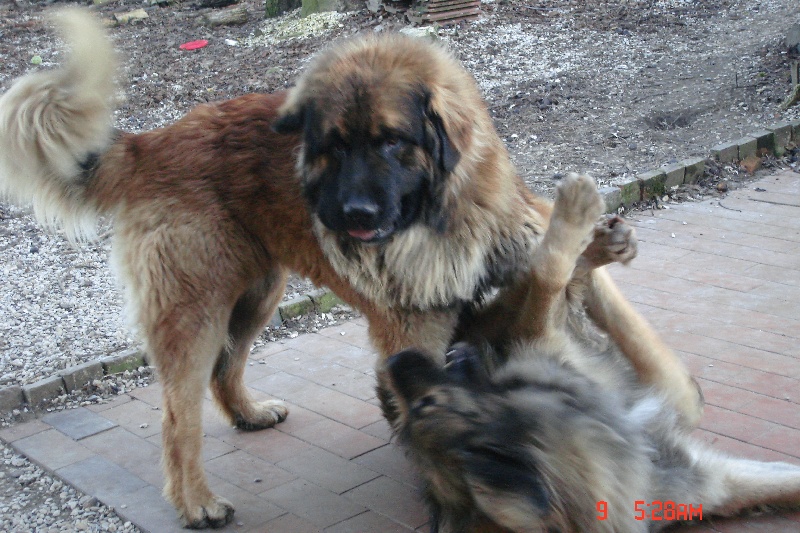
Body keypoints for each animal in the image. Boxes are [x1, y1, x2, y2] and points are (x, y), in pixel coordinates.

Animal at [0, 8, 700, 528]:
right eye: (331, 149)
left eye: (393, 142)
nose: (351, 215)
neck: (442, 216)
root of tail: (149, 143)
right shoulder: (418, 330)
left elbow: (627, 324)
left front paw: (678, 397)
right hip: (195, 307)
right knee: (178, 416)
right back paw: (196, 503)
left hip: (259, 291)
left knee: (226, 369)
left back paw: (249, 414)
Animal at [382, 174, 800, 528]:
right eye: (424, 406)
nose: (394, 361)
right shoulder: (541, 335)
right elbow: (548, 273)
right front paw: (573, 217)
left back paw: (602, 244)